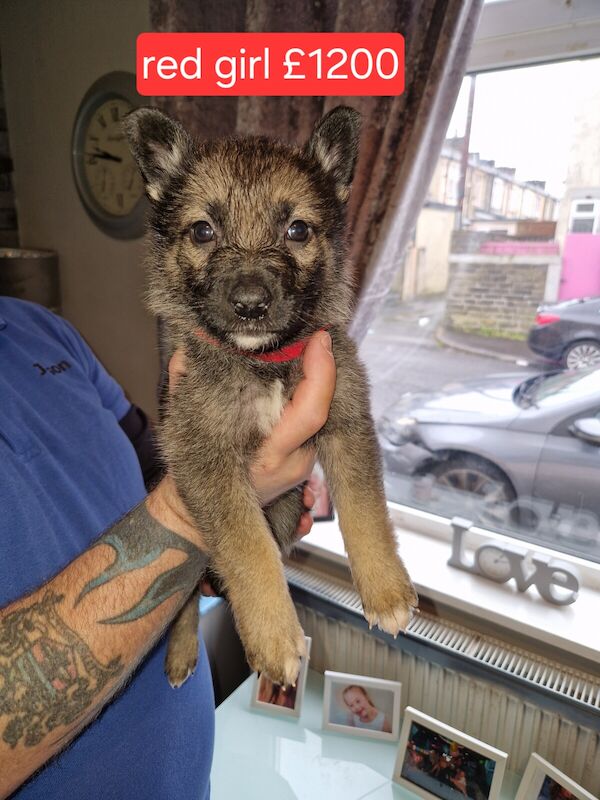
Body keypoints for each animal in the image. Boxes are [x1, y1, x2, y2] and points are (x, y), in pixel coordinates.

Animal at [125, 106, 420, 688]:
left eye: (297, 229)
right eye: (203, 230)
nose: (249, 304)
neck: (263, 361)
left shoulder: (346, 421)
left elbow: (365, 511)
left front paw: (386, 592)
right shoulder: (203, 455)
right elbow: (247, 547)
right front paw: (273, 637)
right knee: (185, 594)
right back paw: (181, 652)